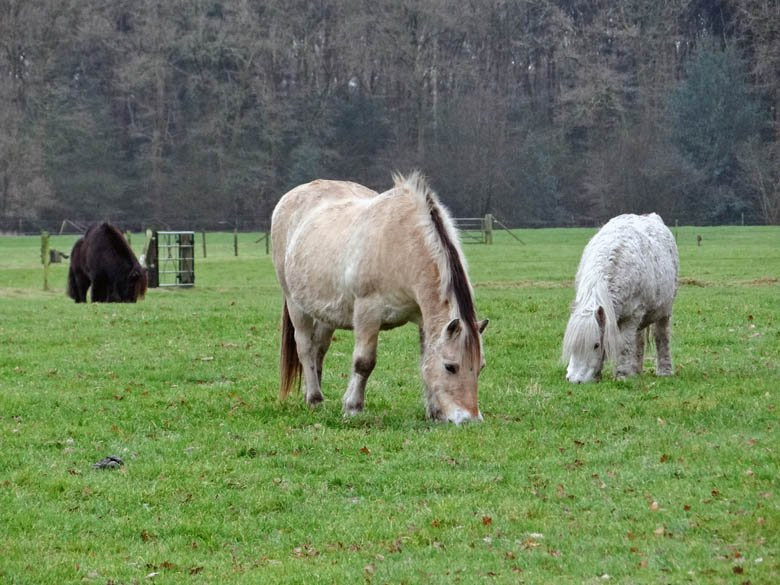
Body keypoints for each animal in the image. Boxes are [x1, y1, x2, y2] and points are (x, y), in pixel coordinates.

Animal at [270, 171, 488, 422]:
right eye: (450, 367)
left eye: (481, 367)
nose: (470, 419)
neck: (402, 244)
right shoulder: (368, 314)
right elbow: (364, 362)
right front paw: (353, 407)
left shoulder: (423, 318)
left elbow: (425, 359)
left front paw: (434, 412)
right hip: (295, 304)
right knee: (305, 347)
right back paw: (315, 399)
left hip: (327, 312)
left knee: (319, 349)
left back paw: (312, 392)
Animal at [564, 214, 680, 384]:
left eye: (596, 345)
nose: (574, 379)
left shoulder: (631, 316)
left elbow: (624, 345)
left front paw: (622, 375)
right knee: (639, 340)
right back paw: (636, 370)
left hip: (664, 311)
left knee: (661, 337)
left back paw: (664, 371)